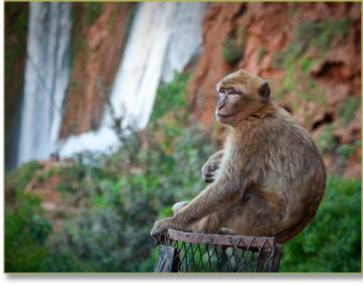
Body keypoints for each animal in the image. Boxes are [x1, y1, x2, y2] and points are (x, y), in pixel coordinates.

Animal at [151, 68, 328, 244]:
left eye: (233, 92)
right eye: (223, 91)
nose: (220, 105)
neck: (258, 112)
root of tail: (281, 238)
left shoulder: (250, 134)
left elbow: (229, 187)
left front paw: (172, 222)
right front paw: (212, 162)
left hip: (262, 222)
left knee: (241, 195)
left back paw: (198, 228)